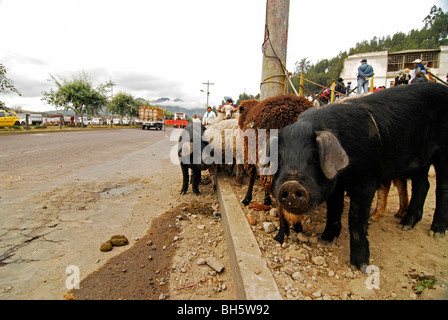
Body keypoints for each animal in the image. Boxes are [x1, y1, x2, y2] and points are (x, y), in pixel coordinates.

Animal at [272, 83, 448, 272]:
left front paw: (361, 266)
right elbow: (334, 209)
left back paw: (436, 232)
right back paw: (405, 225)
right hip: (420, 161)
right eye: (280, 159)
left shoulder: (366, 181)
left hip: (443, 152)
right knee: (423, 185)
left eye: (314, 157)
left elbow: (356, 219)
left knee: (441, 188)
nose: (290, 185)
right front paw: (325, 239)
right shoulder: (336, 185)